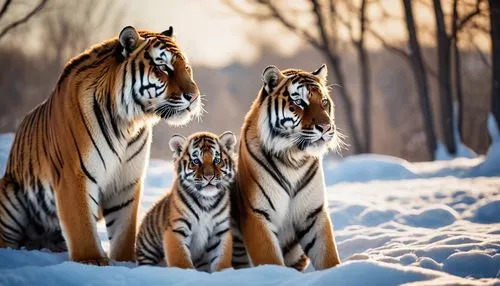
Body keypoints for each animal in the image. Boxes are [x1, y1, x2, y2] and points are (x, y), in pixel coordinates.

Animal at [0, 25, 203, 264]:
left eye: (186, 68)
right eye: (163, 67)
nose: (194, 97)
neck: (128, 123)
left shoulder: (126, 181)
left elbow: (124, 229)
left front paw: (125, 262)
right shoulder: (75, 175)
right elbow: (81, 225)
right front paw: (91, 260)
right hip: (9, 194)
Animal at [135, 131, 236, 272]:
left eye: (217, 160)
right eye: (196, 161)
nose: (209, 177)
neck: (206, 200)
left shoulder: (220, 231)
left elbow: (222, 259)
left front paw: (225, 273)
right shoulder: (177, 228)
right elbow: (180, 259)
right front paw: (187, 273)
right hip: (148, 249)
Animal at [231, 64, 344, 270]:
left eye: (324, 102)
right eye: (300, 102)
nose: (325, 127)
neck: (293, 158)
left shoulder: (313, 214)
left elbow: (328, 255)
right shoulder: (257, 214)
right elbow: (270, 260)